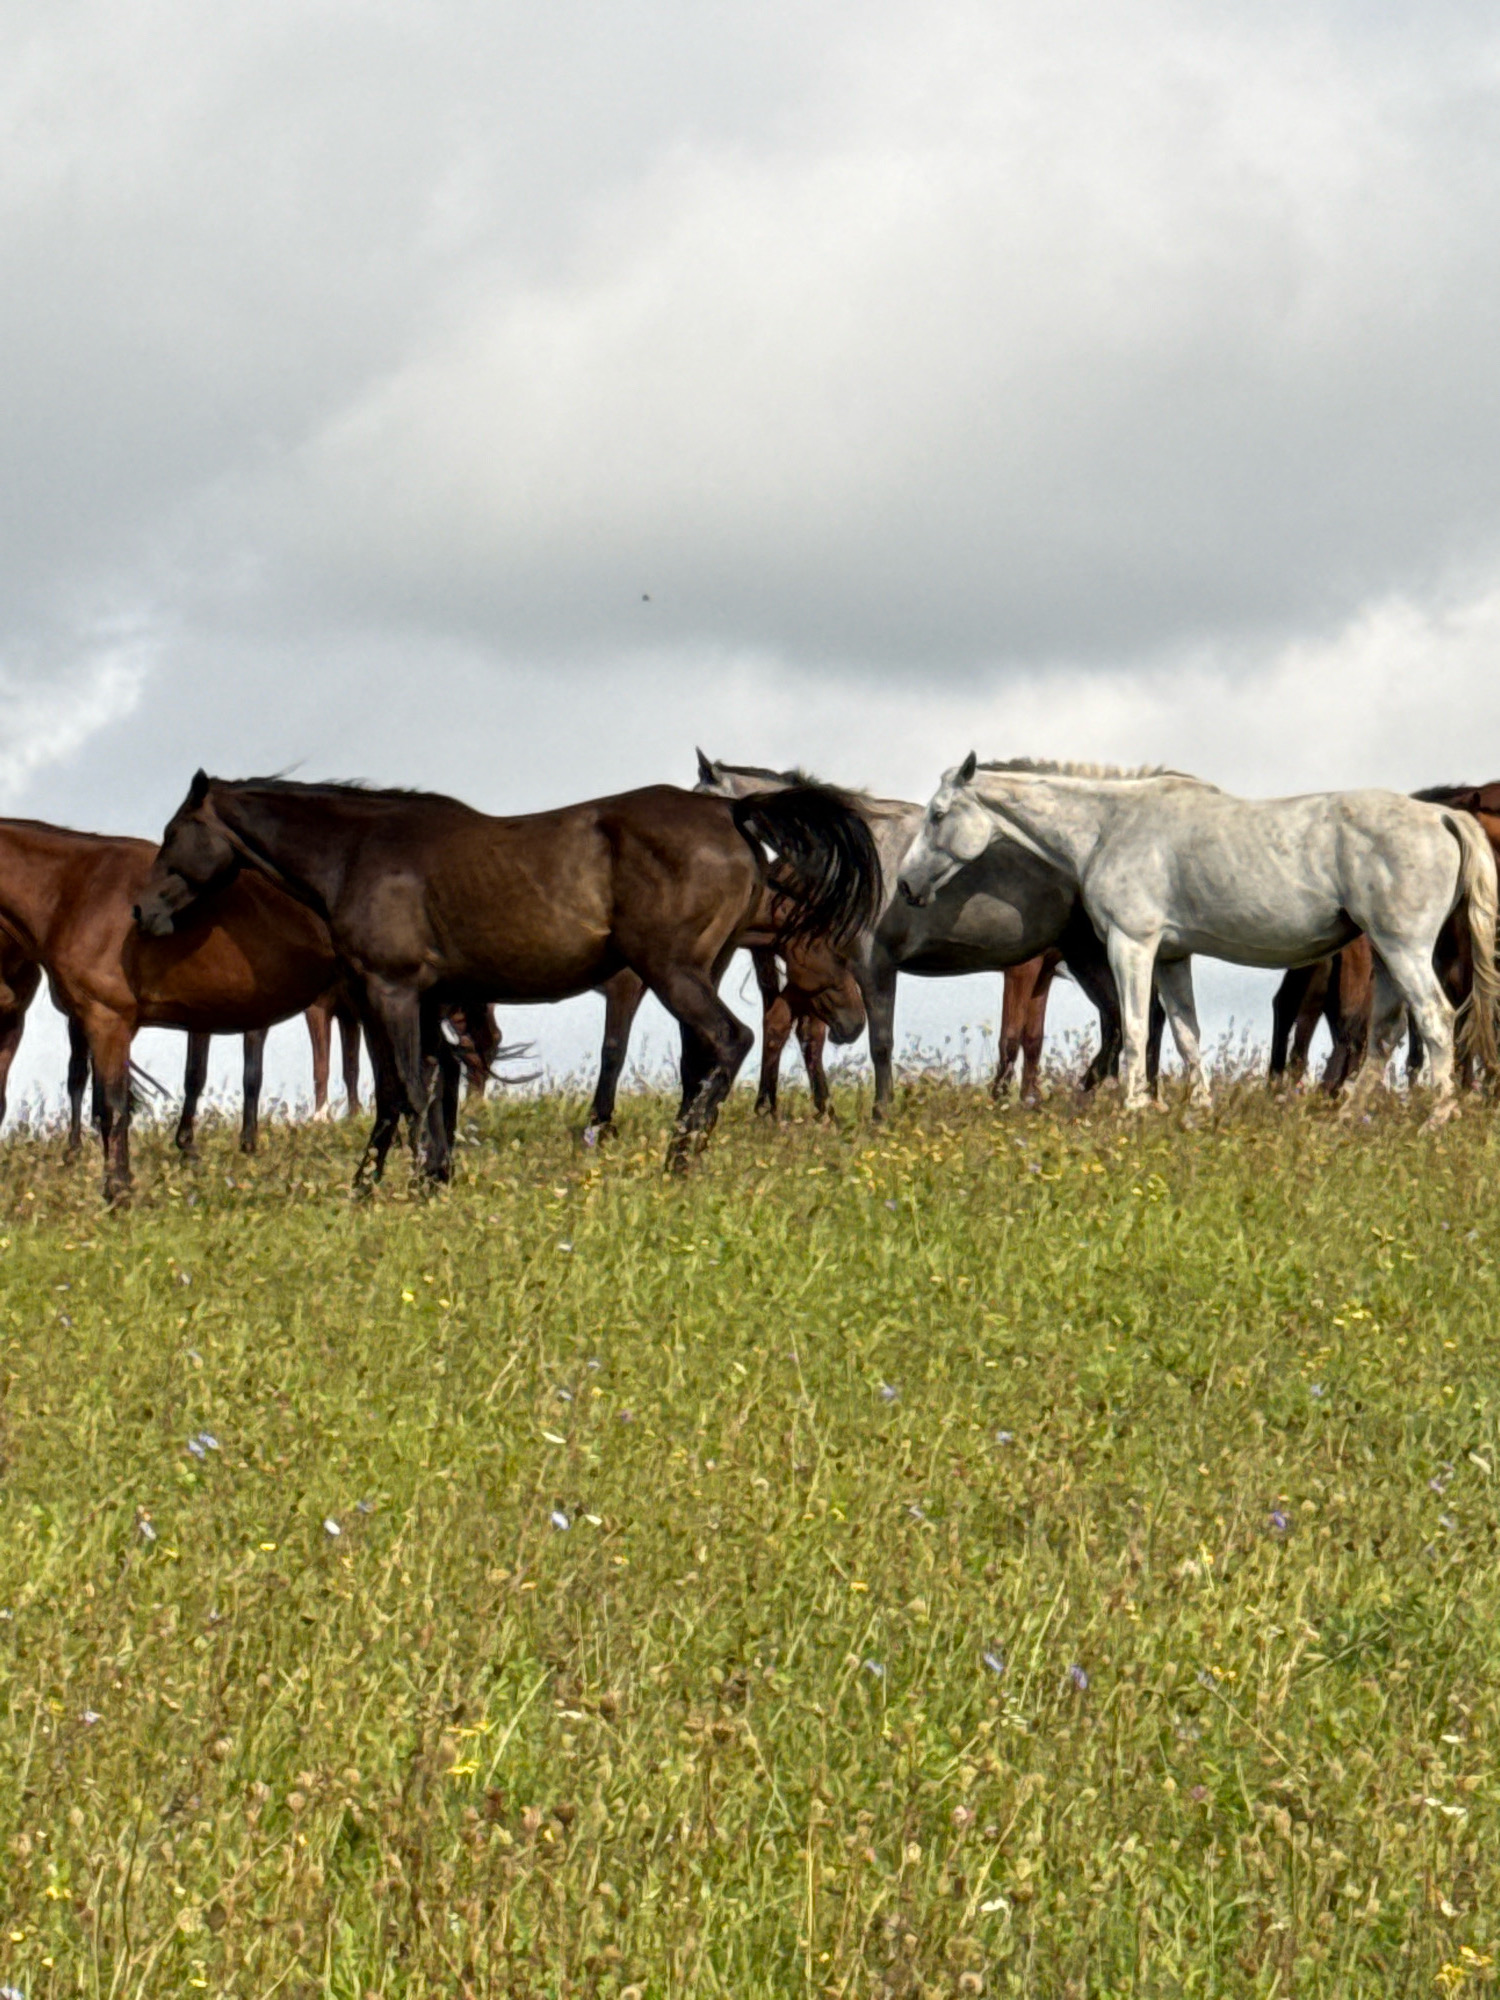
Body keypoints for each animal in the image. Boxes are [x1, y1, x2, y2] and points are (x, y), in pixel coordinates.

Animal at [135, 775, 882, 1183]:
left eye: (173, 833)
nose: (143, 910)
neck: (357, 855)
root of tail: (731, 814)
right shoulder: (418, 999)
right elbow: (425, 1083)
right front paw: (416, 1176)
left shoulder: (391, 990)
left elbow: (406, 1088)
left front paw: (402, 1180)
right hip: (698, 971)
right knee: (703, 1059)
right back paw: (685, 1151)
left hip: (672, 972)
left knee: (730, 1042)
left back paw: (679, 1160)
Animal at [898, 757, 1500, 1123]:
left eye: (937, 815)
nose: (906, 885)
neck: (1110, 826)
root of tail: (1441, 816)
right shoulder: (1172, 956)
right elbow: (1187, 1035)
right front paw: (1197, 1111)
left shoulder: (1132, 946)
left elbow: (1136, 1029)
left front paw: (1133, 1108)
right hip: (1385, 955)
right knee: (1385, 1033)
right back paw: (1349, 1117)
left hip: (1403, 950)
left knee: (1436, 1022)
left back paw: (1436, 1119)